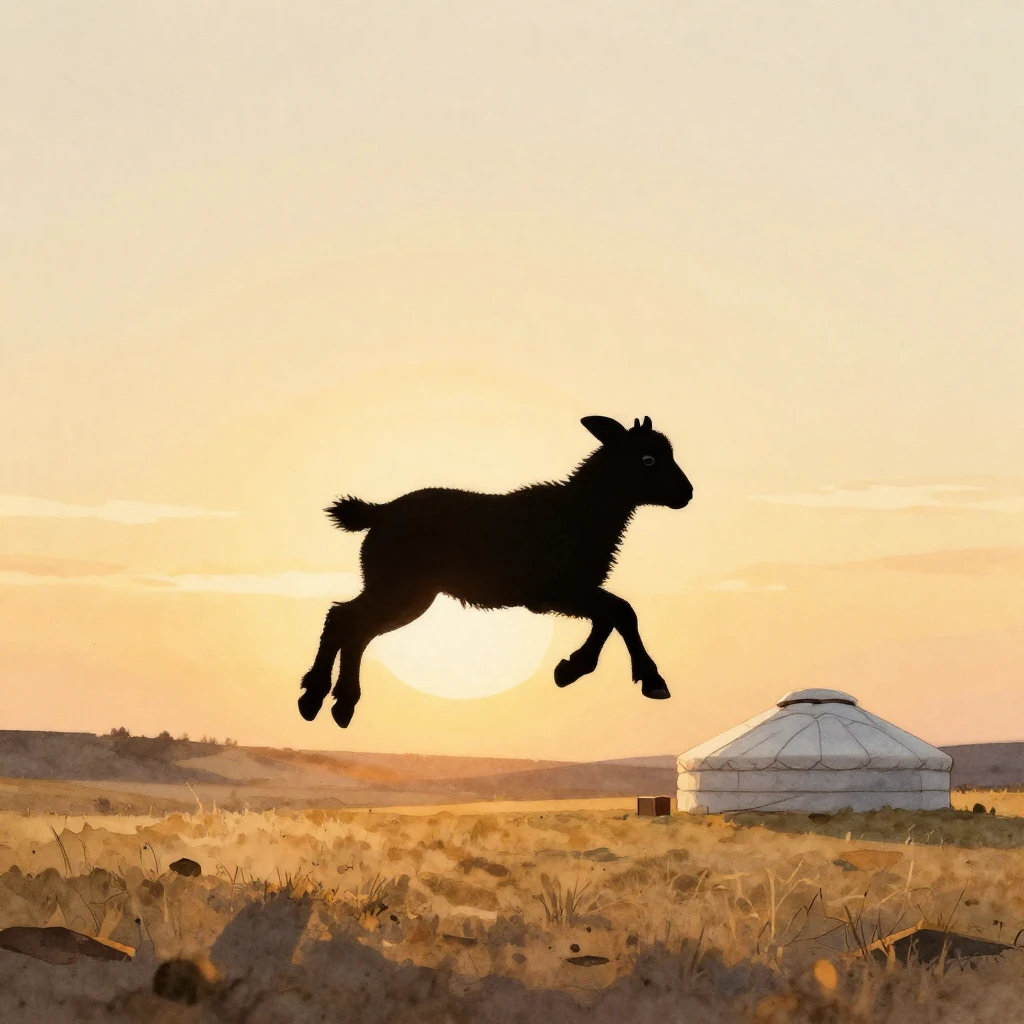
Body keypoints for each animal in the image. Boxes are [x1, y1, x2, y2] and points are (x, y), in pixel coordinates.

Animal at [298, 414, 694, 728]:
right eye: (647, 459)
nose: (686, 493)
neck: (583, 510)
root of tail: (377, 512)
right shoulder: (555, 591)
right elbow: (621, 611)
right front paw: (651, 680)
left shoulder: (572, 591)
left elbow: (610, 617)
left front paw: (569, 669)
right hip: (396, 587)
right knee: (343, 619)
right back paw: (315, 697)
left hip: (410, 595)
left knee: (356, 629)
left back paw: (340, 705)